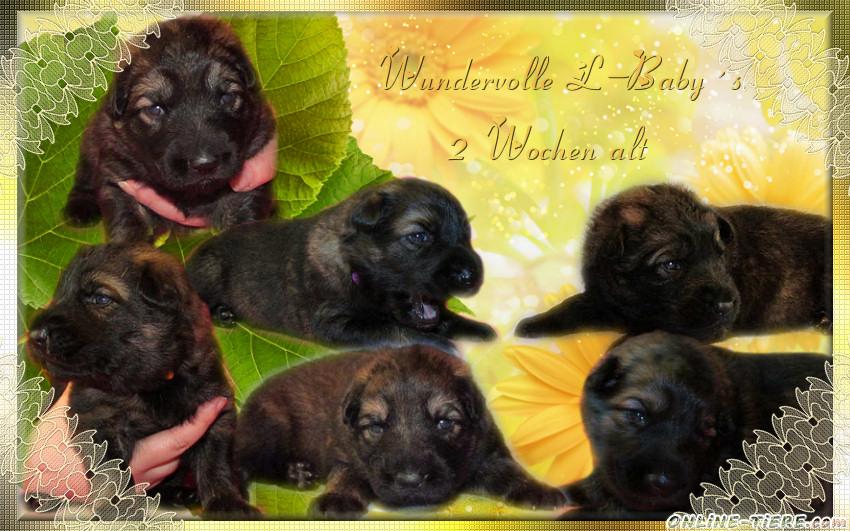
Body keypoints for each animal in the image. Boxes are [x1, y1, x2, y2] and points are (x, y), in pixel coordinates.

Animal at [27, 244, 258, 518]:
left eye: (101, 298)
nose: (34, 335)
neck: (152, 382)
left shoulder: (215, 407)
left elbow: (215, 461)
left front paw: (227, 502)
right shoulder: (98, 420)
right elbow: (113, 471)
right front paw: (118, 509)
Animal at [64, 15, 276, 243]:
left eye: (227, 97)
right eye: (155, 109)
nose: (205, 164)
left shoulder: (247, 186)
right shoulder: (118, 178)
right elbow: (126, 228)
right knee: (85, 173)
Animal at [186, 177, 496, 348]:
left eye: (466, 236)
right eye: (419, 236)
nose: (471, 277)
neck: (353, 269)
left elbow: (449, 320)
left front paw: (484, 333)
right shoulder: (335, 323)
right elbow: (396, 331)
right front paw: (445, 345)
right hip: (209, 270)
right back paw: (222, 313)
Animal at [235, 345, 566, 518]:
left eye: (444, 423)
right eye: (376, 426)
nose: (409, 481)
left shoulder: (487, 455)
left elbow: (514, 474)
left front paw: (541, 491)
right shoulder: (346, 454)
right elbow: (347, 475)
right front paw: (338, 499)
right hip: (271, 424)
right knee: (248, 462)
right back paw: (296, 474)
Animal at [516, 184, 831, 342]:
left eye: (720, 255)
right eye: (671, 266)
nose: (727, 304)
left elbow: (655, 331)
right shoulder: (602, 298)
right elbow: (572, 305)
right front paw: (533, 324)